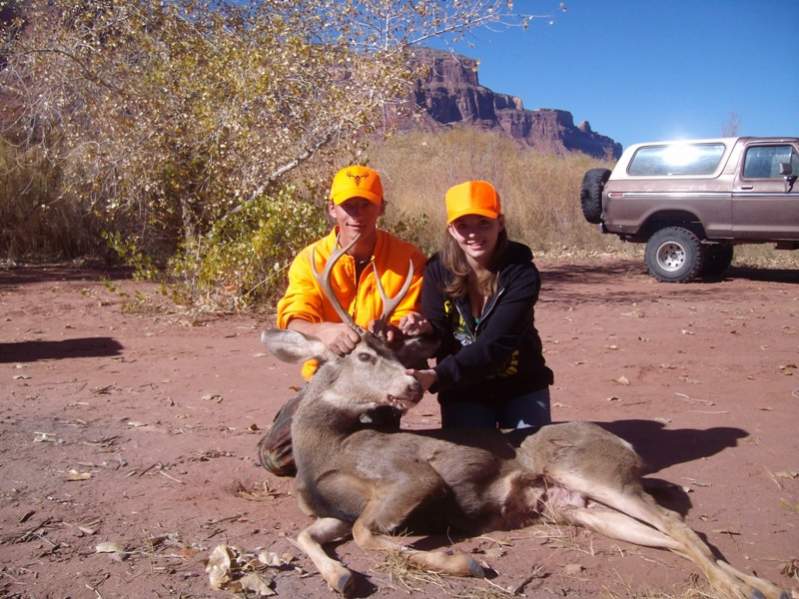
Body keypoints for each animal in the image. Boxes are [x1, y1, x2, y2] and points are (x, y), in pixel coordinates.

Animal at [260, 237, 788, 596]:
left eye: (397, 354)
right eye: (366, 356)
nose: (411, 385)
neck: (327, 451)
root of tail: (624, 446)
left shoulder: (410, 477)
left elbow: (366, 533)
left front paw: (464, 562)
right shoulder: (332, 512)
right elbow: (305, 533)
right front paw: (341, 577)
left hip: (589, 470)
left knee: (677, 525)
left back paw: (743, 588)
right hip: (581, 508)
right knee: (673, 536)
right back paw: (769, 586)